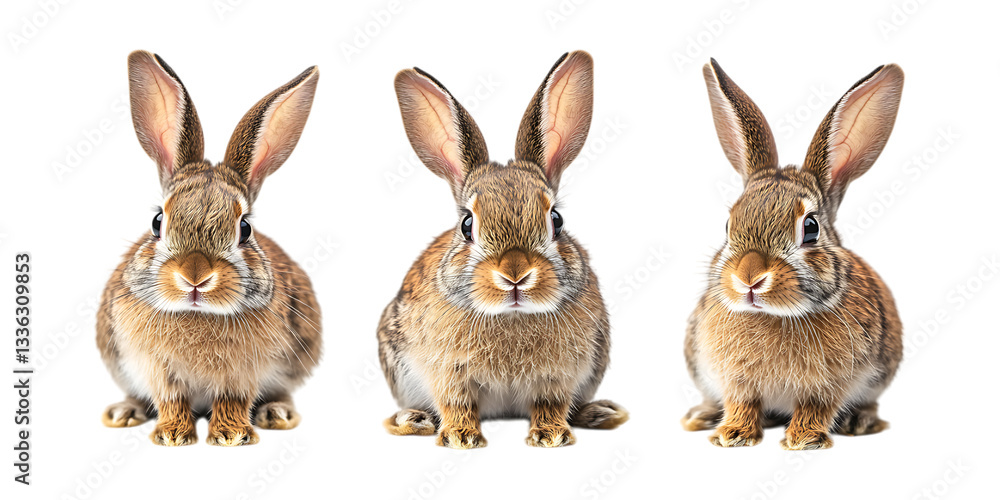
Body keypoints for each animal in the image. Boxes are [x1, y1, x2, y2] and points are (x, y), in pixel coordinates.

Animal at [96, 50, 322, 446]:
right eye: (157, 222)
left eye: (245, 229)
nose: (195, 277)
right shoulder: (158, 371)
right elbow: (171, 401)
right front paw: (172, 436)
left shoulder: (242, 373)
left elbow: (233, 400)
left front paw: (232, 436)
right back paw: (124, 412)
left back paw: (277, 413)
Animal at [378, 51, 628, 449]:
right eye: (467, 225)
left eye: (556, 220)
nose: (515, 275)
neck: (511, 316)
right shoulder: (448, 373)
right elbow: (457, 404)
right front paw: (460, 438)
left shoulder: (558, 377)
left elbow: (550, 404)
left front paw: (551, 436)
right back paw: (412, 420)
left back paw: (600, 413)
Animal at [681, 59, 905, 449]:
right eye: (727, 225)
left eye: (811, 228)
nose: (749, 278)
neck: (775, 315)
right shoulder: (736, 382)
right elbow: (741, 403)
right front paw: (732, 435)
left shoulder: (828, 386)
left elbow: (816, 407)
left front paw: (805, 439)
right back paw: (702, 417)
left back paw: (861, 422)